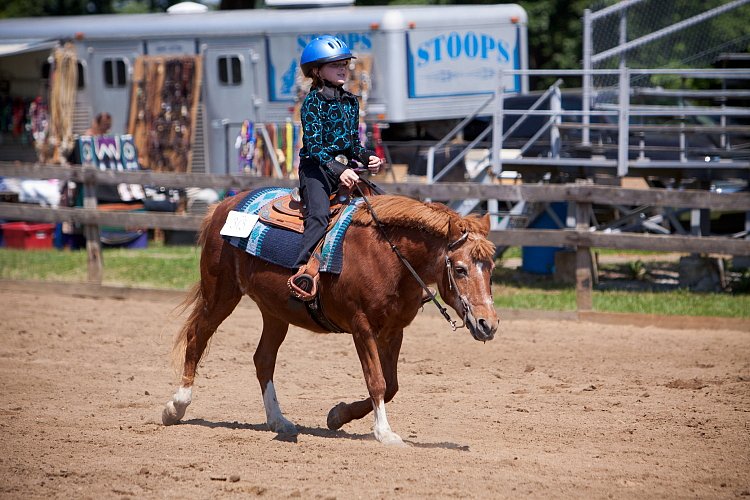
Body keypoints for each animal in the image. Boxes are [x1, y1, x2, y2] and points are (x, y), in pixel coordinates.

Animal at [167, 191, 502, 446]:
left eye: (491, 268)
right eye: (460, 269)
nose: (488, 324)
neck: (390, 257)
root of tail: (223, 206)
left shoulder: (394, 331)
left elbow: (391, 385)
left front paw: (338, 415)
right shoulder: (361, 327)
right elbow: (377, 381)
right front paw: (384, 433)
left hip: (274, 312)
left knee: (263, 359)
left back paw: (279, 421)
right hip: (221, 293)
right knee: (197, 337)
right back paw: (176, 407)